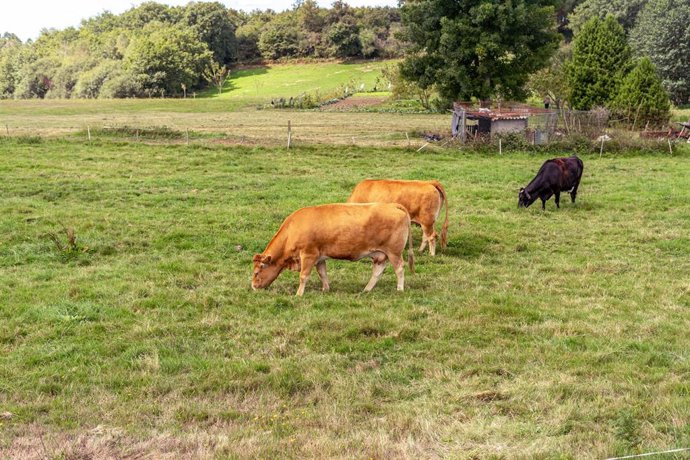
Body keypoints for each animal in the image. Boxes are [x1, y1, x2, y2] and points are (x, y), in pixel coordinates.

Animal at [252, 203, 415, 296]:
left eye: (257, 272)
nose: (253, 286)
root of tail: (393, 205)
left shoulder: (308, 254)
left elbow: (304, 276)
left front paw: (299, 294)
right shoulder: (319, 257)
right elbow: (322, 273)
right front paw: (325, 289)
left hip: (394, 252)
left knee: (399, 269)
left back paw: (400, 288)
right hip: (380, 255)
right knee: (377, 272)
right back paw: (366, 289)